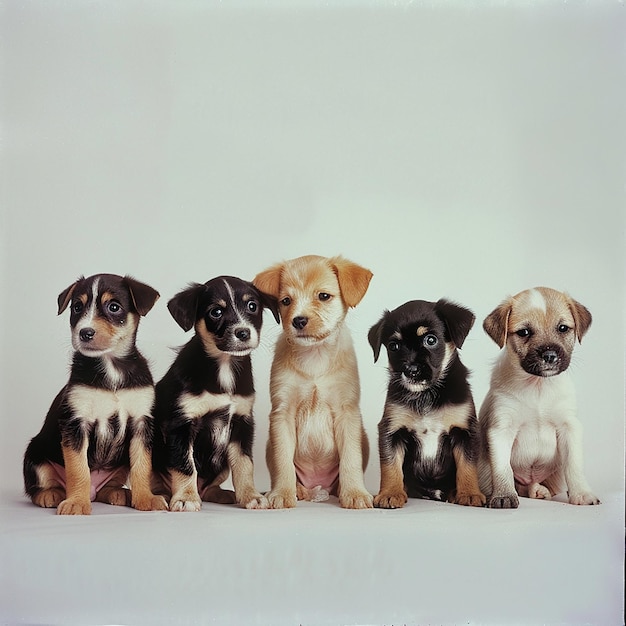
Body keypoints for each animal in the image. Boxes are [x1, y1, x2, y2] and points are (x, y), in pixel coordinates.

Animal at [23, 272, 167, 512]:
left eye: (114, 307)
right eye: (77, 308)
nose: (85, 333)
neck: (111, 368)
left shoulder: (141, 422)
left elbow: (142, 466)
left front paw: (146, 499)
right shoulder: (76, 424)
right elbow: (78, 469)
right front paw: (76, 503)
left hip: (119, 465)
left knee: (105, 489)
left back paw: (118, 493)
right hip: (35, 455)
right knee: (39, 485)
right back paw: (51, 494)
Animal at [152, 276, 276, 510]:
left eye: (252, 306)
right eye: (216, 312)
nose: (243, 332)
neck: (224, 366)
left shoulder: (242, 422)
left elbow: (244, 464)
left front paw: (251, 496)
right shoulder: (181, 424)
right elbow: (185, 465)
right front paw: (186, 498)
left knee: (210, 487)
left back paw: (222, 494)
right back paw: (163, 496)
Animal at [252, 254, 372, 508]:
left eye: (323, 296)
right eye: (286, 301)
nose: (298, 321)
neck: (315, 356)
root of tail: (319, 487)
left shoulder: (347, 412)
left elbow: (351, 459)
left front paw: (355, 493)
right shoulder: (283, 413)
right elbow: (283, 462)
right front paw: (282, 493)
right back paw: (296, 491)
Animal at [368, 298, 486, 508]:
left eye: (430, 340)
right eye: (393, 346)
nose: (411, 370)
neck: (426, 395)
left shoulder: (466, 431)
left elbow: (467, 466)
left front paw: (470, 493)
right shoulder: (391, 430)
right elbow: (390, 466)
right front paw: (390, 493)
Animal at [478, 288, 596, 508]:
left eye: (562, 328)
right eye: (524, 332)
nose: (549, 356)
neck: (537, 387)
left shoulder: (569, 427)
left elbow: (574, 465)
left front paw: (582, 493)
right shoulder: (502, 429)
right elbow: (502, 469)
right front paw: (504, 495)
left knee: (531, 486)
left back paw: (538, 490)